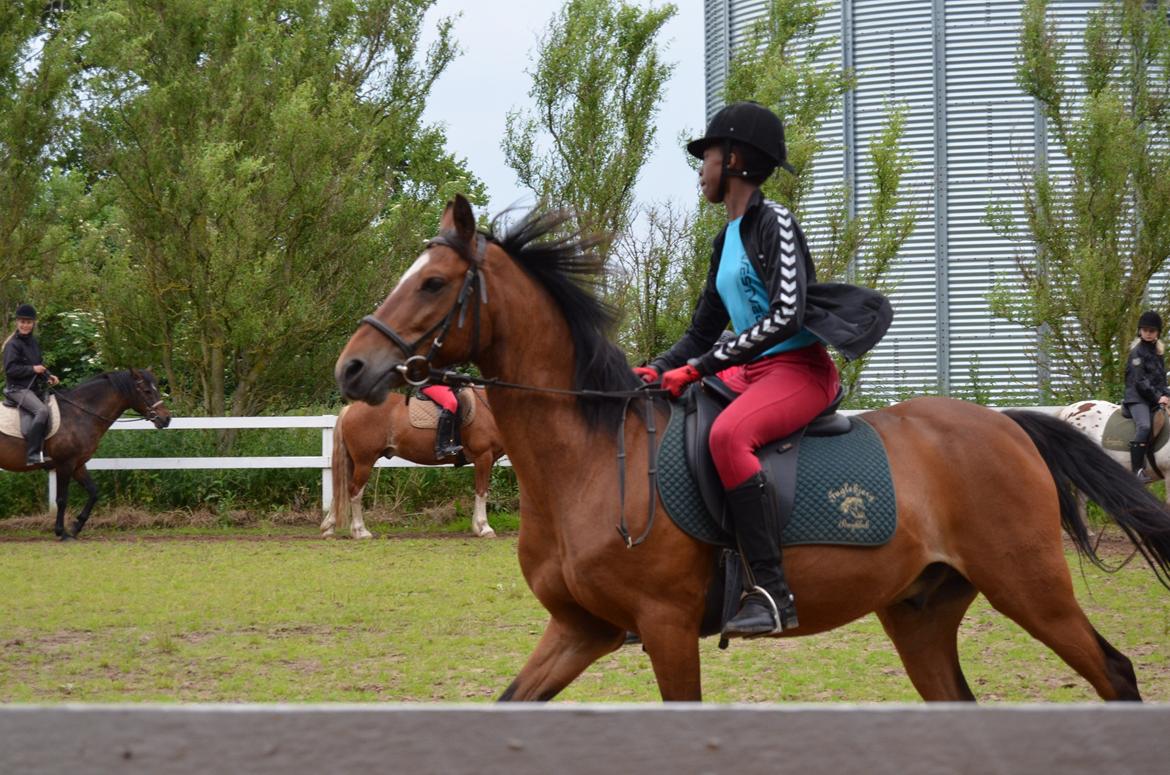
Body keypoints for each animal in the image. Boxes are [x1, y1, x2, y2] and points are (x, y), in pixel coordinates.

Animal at [0, 369, 170, 540]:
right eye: (147, 391)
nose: (166, 418)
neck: (79, 414)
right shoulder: (65, 464)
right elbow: (62, 499)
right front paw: (62, 532)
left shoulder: (78, 465)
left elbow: (94, 492)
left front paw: (76, 526)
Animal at [318, 388, 505, 540]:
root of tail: (350, 408)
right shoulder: (483, 457)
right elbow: (482, 492)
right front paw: (484, 528)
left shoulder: (487, 459)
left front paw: (478, 527)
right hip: (364, 462)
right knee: (355, 492)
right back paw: (360, 531)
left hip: (353, 462)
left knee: (341, 490)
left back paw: (328, 528)